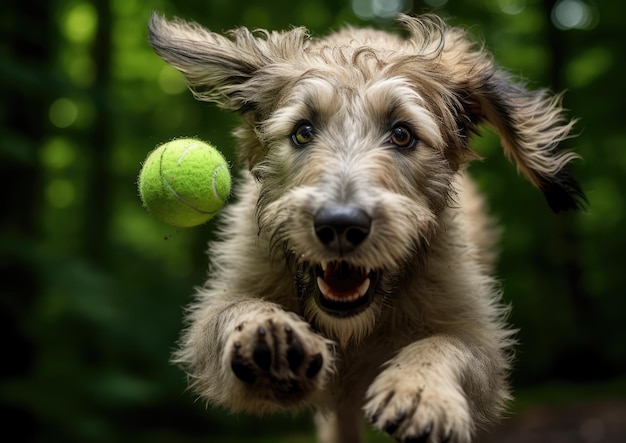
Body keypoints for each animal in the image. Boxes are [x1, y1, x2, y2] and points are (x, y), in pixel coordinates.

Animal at [149, 12, 584, 442]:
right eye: (303, 131)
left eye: (402, 134)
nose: (340, 225)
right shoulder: (225, 299)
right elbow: (230, 312)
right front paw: (265, 331)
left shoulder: (476, 334)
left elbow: (448, 344)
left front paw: (421, 389)